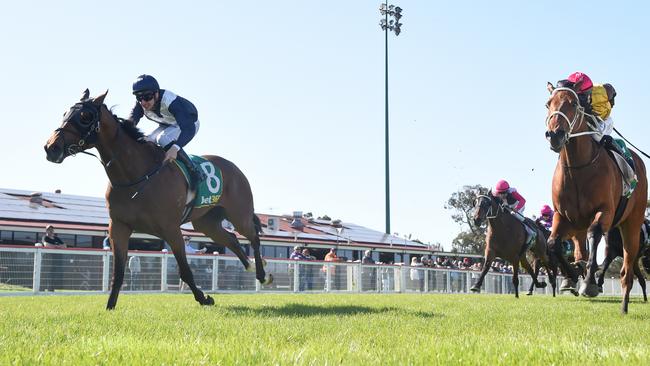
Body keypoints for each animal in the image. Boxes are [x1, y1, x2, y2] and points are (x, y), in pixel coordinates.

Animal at [43, 88, 270, 308]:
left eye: (85, 116)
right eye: (65, 113)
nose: (51, 147)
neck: (135, 175)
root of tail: (235, 168)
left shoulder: (171, 229)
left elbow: (185, 271)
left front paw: (204, 299)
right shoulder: (118, 227)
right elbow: (118, 272)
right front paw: (109, 307)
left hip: (239, 215)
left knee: (253, 237)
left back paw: (262, 274)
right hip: (207, 223)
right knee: (231, 239)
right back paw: (250, 267)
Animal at [540, 81, 644, 314]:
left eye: (572, 103)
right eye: (548, 103)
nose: (555, 135)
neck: (578, 167)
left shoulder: (604, 211)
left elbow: (594, 233)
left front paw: (589, 283)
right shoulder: (563, 215)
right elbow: (553, 243)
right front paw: (572, 275)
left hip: (632, 223)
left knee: (627, 269)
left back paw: (624, 305)